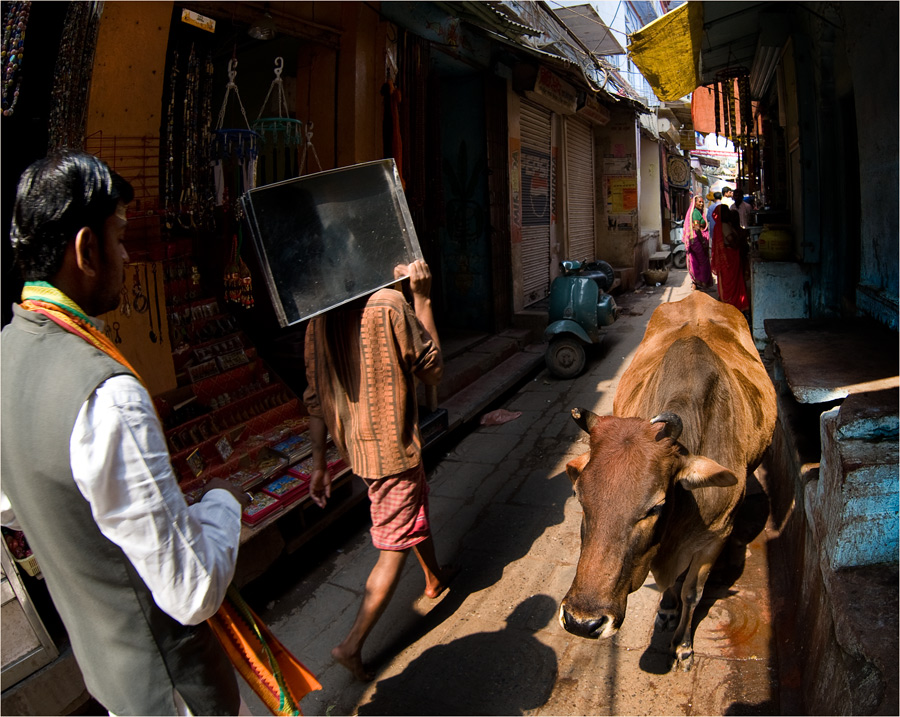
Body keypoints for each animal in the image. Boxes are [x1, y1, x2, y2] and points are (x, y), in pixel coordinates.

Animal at [560, 288, 776, 668]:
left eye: (655, 507)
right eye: (580, 498)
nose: (582, 621)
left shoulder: (715, 537)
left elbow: (692, 591)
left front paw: (683, 644)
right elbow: (672, 585)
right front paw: (667, 609)